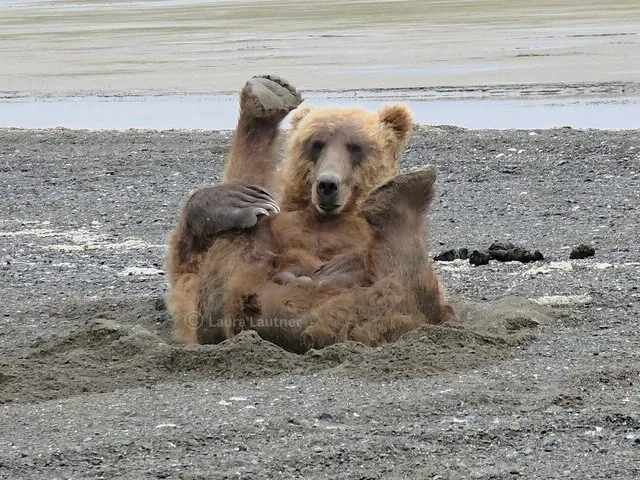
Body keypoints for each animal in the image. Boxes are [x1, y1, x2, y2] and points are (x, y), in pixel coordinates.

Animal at [165, 75, 454, 352]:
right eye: (316, 144)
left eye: (355, 146)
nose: (327, 184)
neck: (325, 216)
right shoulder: (286, 215)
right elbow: (186, 270)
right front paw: (236, 200)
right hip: (240, 293)